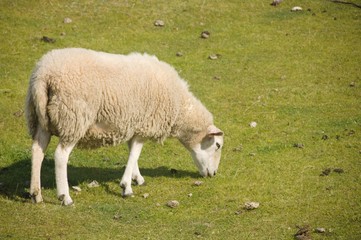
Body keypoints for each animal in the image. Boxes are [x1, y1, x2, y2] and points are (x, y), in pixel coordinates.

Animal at [25, 47, 222, 205]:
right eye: (218, 145)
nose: (213, 174)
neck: (179, 107)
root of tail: (44, 75)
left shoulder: (133, 125)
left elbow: (132, 153)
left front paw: (137, 178)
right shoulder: (144, 125)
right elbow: (135, 154)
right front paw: (126, 186)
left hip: (41, 119)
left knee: (37, 151)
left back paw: (36, 194)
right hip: (73, 118)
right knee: (60, 156)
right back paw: (65, 197)